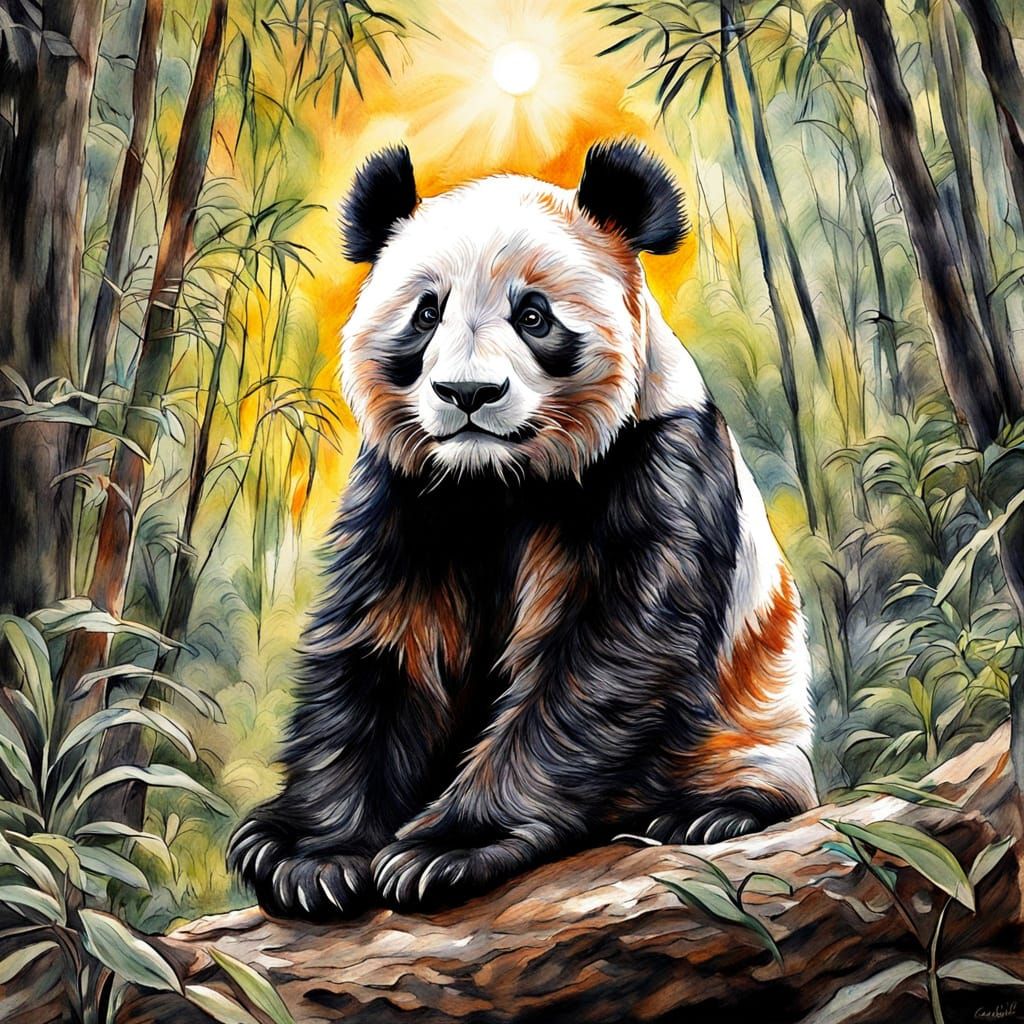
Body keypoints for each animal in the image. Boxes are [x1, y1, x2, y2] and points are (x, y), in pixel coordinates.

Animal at [228, 139, 816, 921]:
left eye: (534, 316)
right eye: (426, 313)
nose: (468, 394)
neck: (497, 478)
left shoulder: (655, 464)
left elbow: (603, 655)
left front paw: (445, 850)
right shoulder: (410, 492)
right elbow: (386, 648)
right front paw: (305, 855)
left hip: (754, 716)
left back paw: (710, 814)